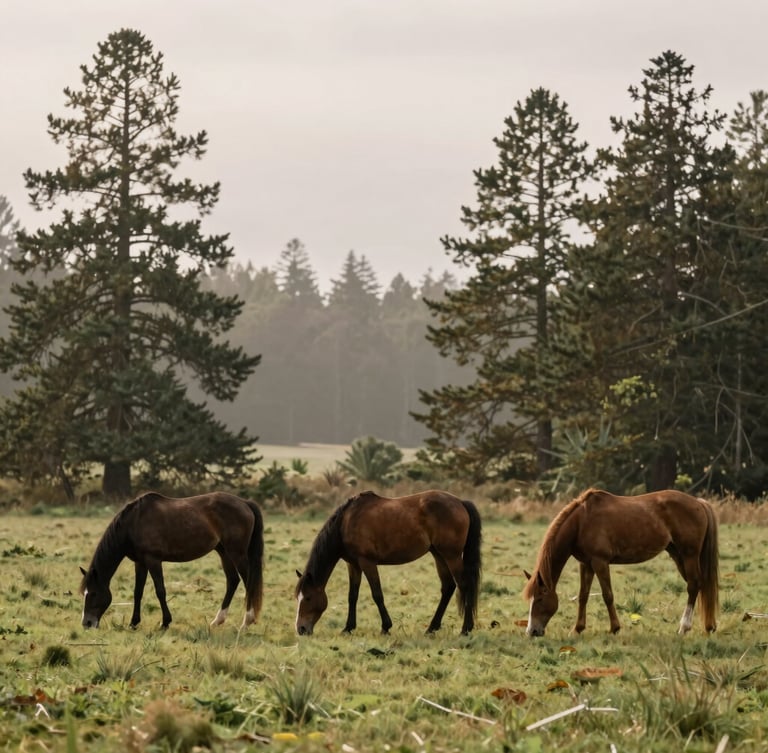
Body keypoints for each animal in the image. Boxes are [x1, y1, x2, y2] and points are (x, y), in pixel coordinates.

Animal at [79, 491, 264, 630]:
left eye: (93, 593)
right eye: (85, 593)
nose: (87, 623)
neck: (134, 523)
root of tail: (244, 502)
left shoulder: (153, 560)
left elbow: (160, 590)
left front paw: (165, 622)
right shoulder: (140, 562)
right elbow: (138, 592)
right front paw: (133, 623)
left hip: (237, 553)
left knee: (248, 582)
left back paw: (246, 622)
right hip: (224, 552)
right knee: (232, 581)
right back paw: (217, 620)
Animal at [295, 489, 482, 636]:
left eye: (308, 598)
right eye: (298, 597)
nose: (301, 629)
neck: (346, 522)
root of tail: (460, 502)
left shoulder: (367, 563)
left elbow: (377, 594)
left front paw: (385, 627)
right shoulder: (353, 565)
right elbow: (352, 596)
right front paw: (348, 628)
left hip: (452, 556)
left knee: (464, 585)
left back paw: (465, 629)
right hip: (439, 555)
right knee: (448, 587)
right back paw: (431, 628)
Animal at [523, 488, 719, 637]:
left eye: (539, 598)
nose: (532, 631)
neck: (581, 523)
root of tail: (699, 503)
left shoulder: (600, 562)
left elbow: (607, 595)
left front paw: (614, 628)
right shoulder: (586, 564)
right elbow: (583, 596)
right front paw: (578, 629)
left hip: (689, 555)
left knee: (693, 586)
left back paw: (684, 627)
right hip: (678, 555)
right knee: (700, 585)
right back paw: (709, 626)